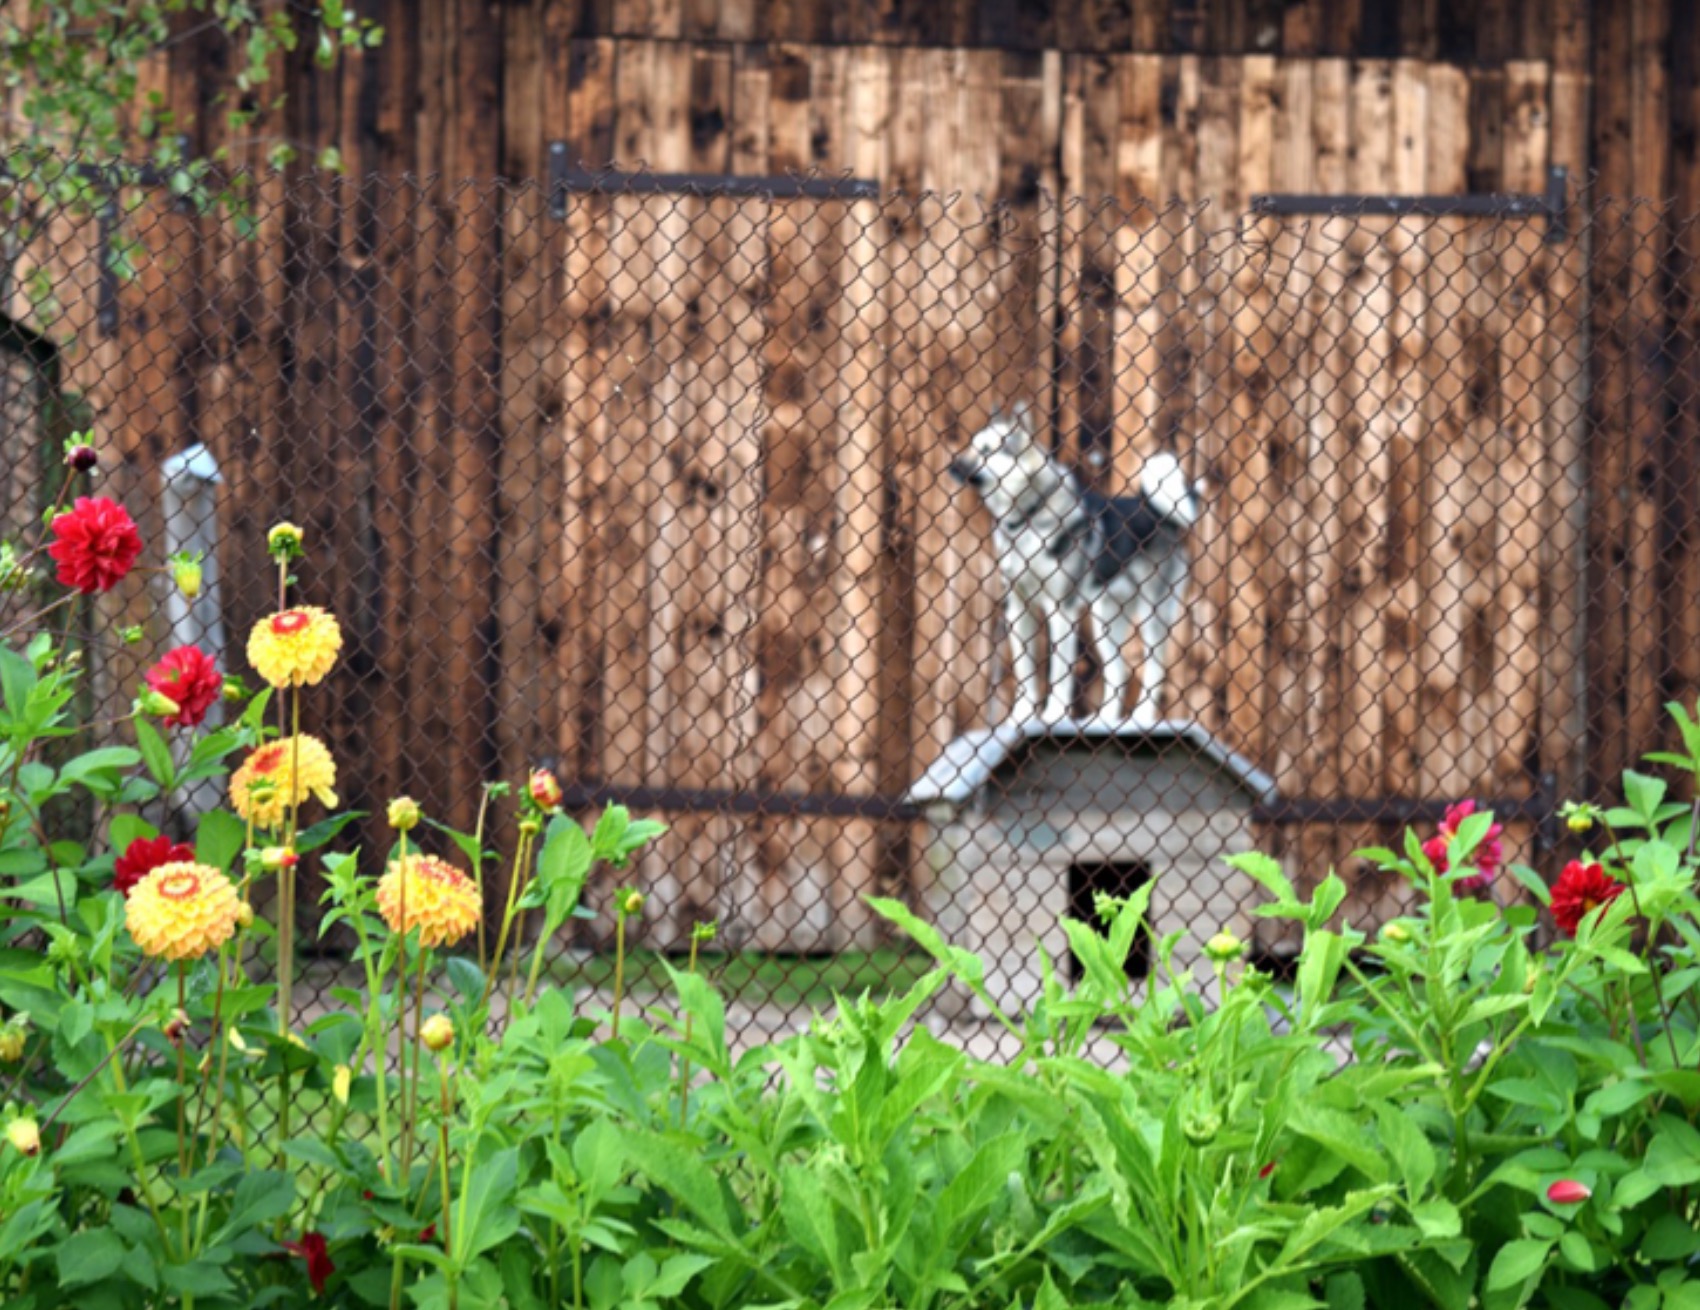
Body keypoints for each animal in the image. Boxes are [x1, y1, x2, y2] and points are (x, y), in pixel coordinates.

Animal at [952, 404, 1203, 727]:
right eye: (971, 446)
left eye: (985, 450)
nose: (952, 467)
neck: (1028, 516)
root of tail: (1160, 515)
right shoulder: (1019, 609)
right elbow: (1025, 672)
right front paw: (1022, 715)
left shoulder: (1061, 610)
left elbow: (1060, 672)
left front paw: (1054, 715)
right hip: (1105, 618)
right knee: (1119, 671)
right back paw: (1104, 720)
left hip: (1151, 616)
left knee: (1155, 670)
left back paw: (1142, 717)